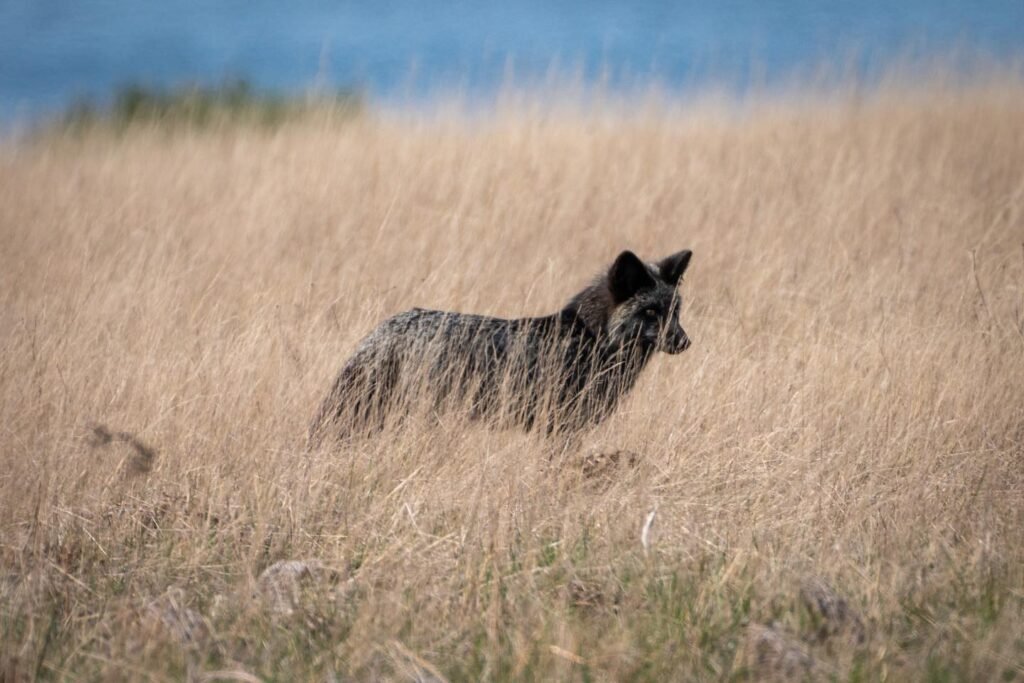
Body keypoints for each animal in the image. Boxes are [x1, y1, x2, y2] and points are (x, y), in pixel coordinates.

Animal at [309, 248, 692, 444]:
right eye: (650, 312)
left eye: (674, 311)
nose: (685, 342)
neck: (592, 339)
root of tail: (383, 329)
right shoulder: (559, 429)